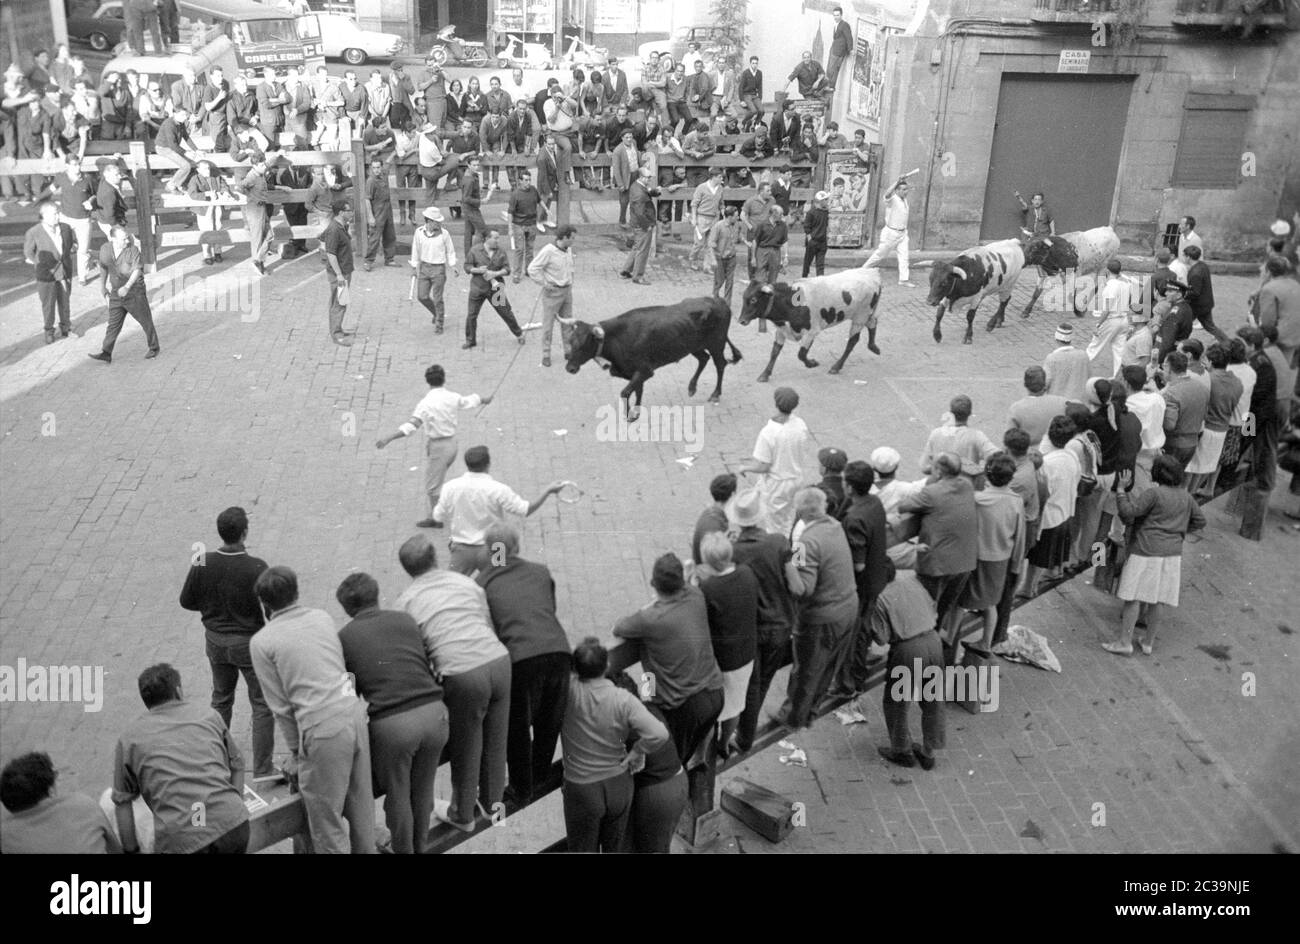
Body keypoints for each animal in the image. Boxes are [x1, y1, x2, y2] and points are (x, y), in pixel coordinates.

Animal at [559, 293, 743, 416]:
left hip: (717, 344)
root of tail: (719, 301)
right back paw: (692, 387)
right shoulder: (634, 373)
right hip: (693, 346)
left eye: (584, 344)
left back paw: (715, 394)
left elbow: (626, 392)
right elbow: (638, 390)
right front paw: (637, 412)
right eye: (570, 341)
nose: (570, 368)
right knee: (704, 359)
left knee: (720, 364)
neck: (619, 337)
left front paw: (630, 415)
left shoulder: (645, 370)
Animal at [743, 267, 883, 382]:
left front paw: (812, 363)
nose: (741, 320)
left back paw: (836, 366)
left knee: (852, 341)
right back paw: (873, 347)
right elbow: (774, 352)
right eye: (744, 297)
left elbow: (801, 354)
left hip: (860, 316)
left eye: (753, 299)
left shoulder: (811, 331)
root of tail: (873, 272)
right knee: (872, 323)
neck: (790, 300)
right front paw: (765, 374)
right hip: (867, 314)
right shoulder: (781, 330)